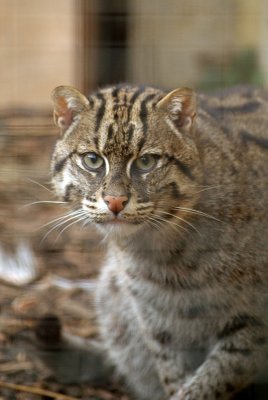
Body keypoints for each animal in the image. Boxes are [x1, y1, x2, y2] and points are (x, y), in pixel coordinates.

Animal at [36, 83, 266, 398]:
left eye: (146, 162)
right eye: (92, 160)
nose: (115, 201)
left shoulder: (255, 322)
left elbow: (220, 372)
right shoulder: (154, 316)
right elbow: (172, 369)